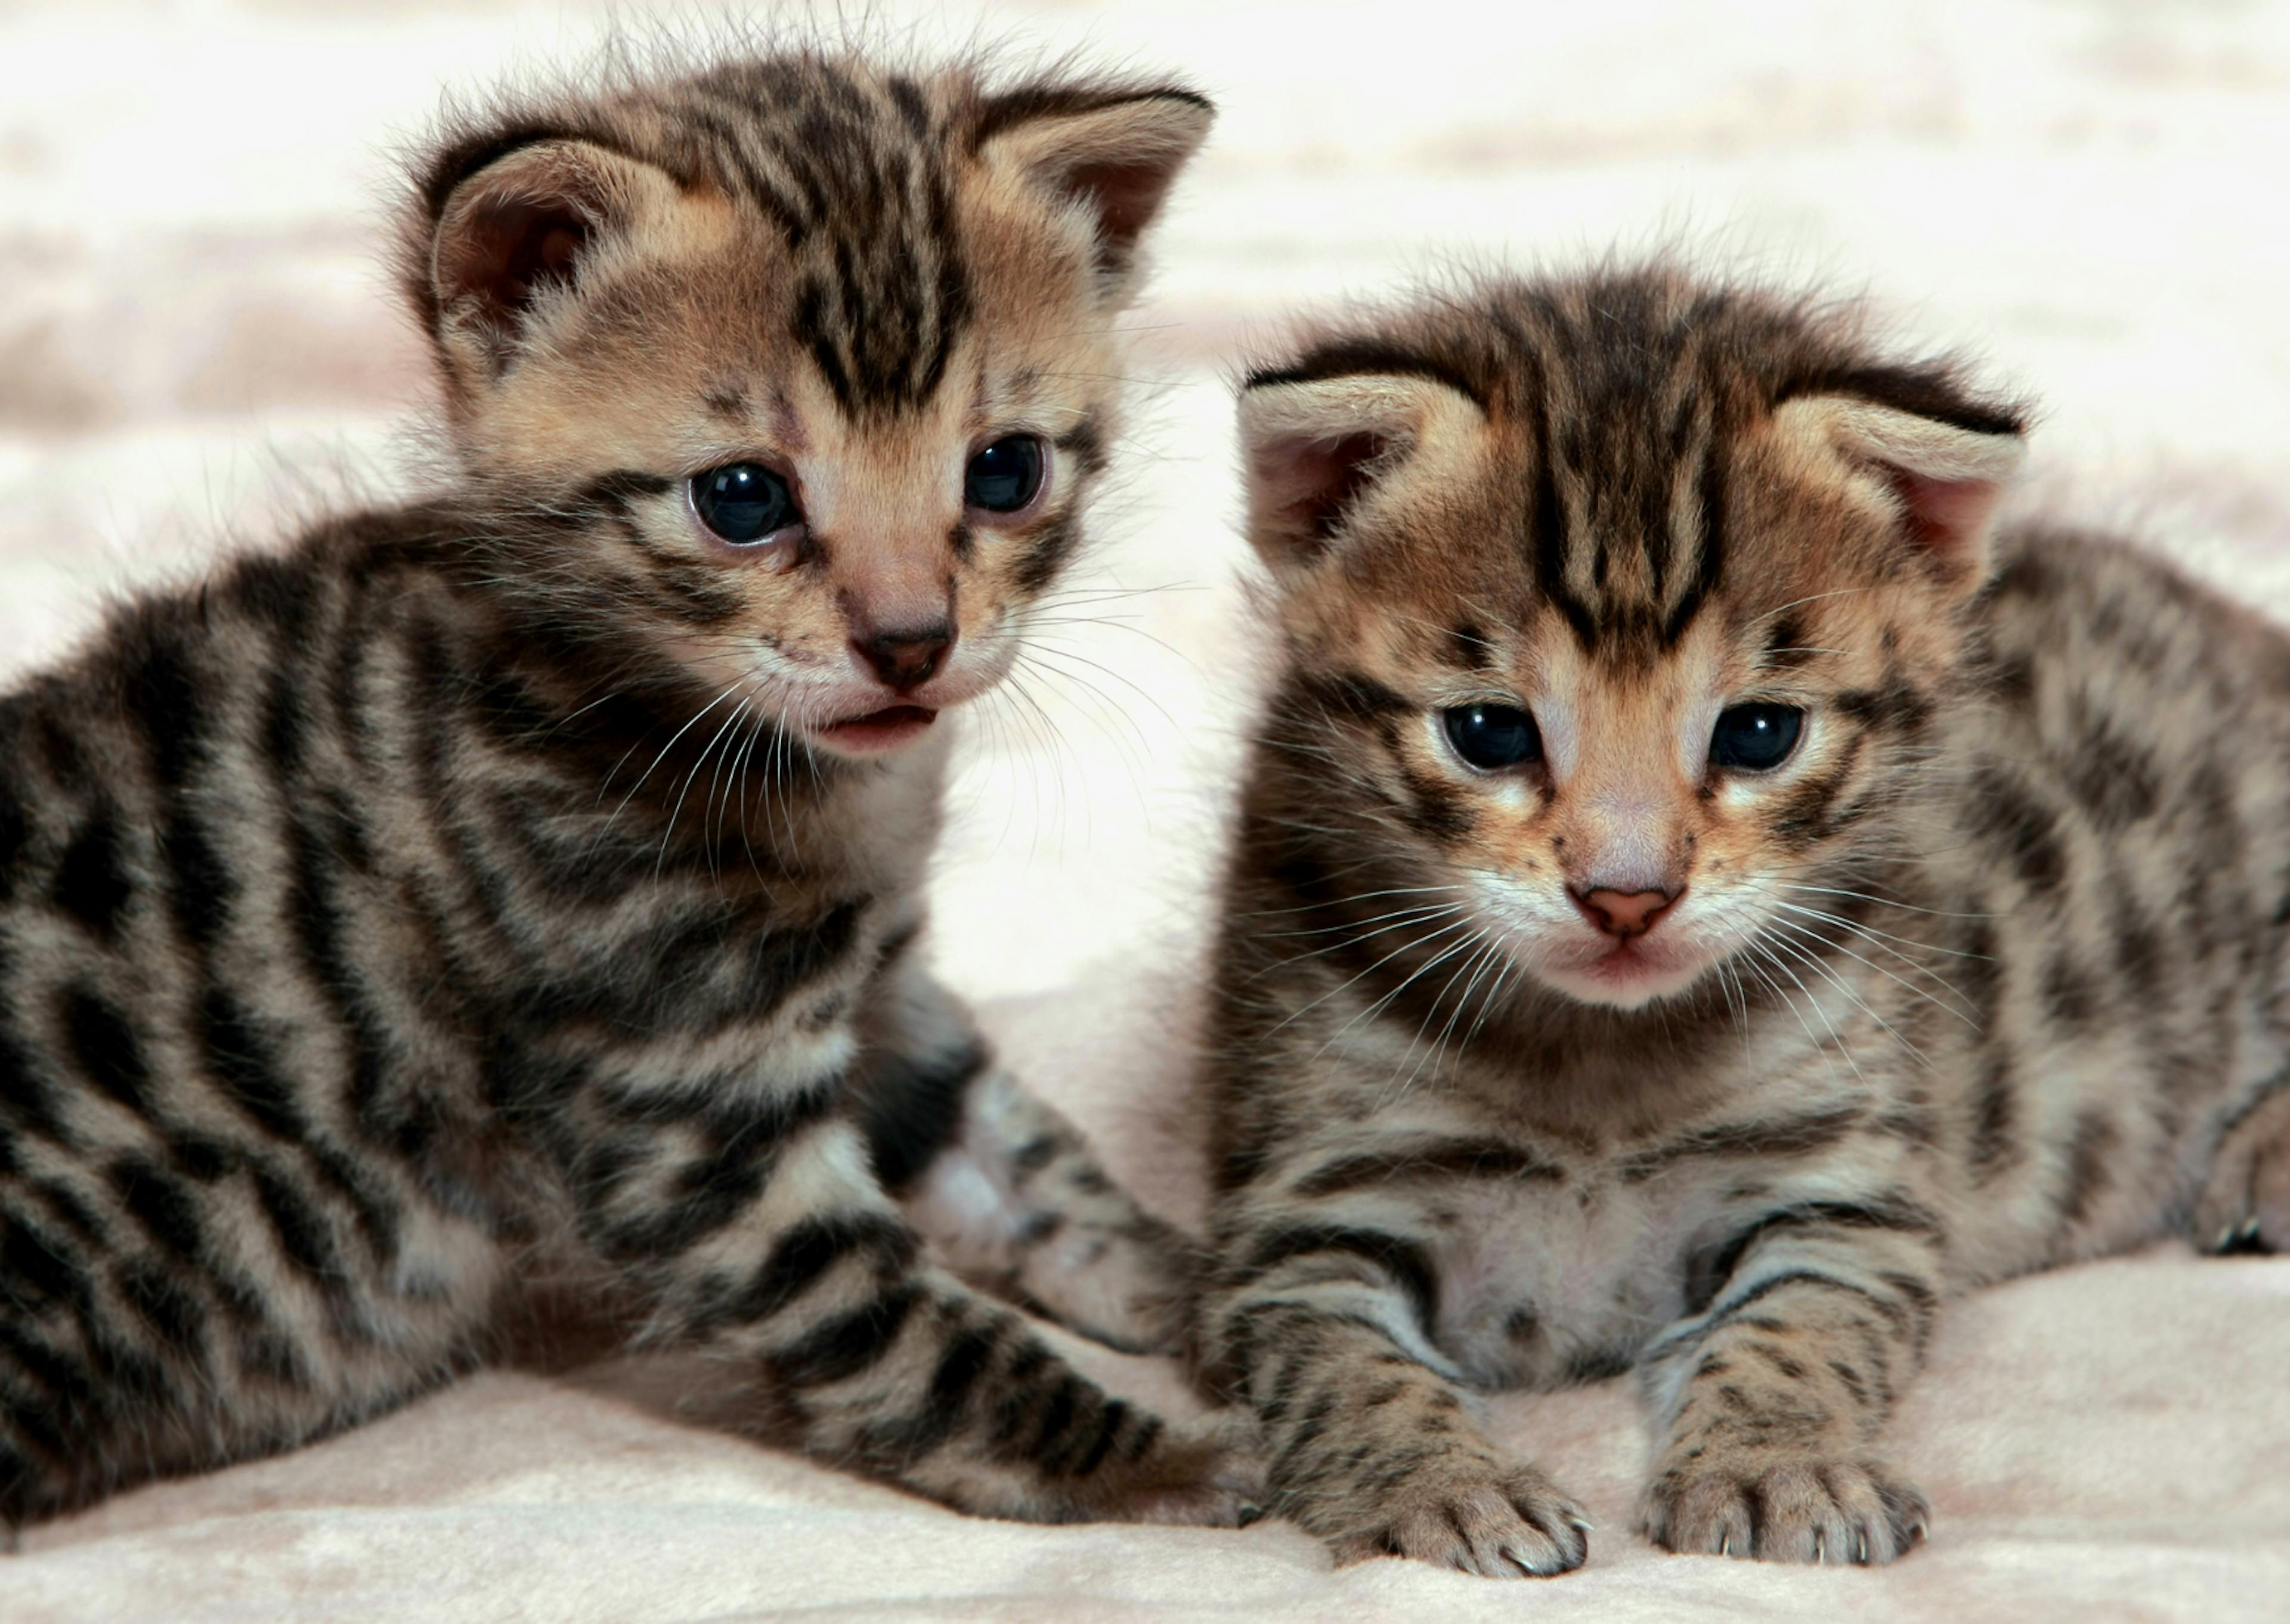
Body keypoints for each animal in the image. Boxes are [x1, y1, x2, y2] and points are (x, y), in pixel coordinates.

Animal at [0, 51, 1255, 1539]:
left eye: (1003, 471)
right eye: (743, 499)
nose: (911, 642)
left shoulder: (883, 994)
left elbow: (1025, 1161)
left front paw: (1203, 1288)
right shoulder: (698, 1120)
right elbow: (912, 1344)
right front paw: (1157, 1463)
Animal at [1200, 263, 2290, 1566]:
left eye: (1761, 733)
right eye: (1489, 733)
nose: (1627, 895)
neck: (1594, 1065)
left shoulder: (1842, 1189)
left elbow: (1798, 1327)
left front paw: (1780, 1463)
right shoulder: (1301, 1217)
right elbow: (1342, 1371)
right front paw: (1438, 1490)